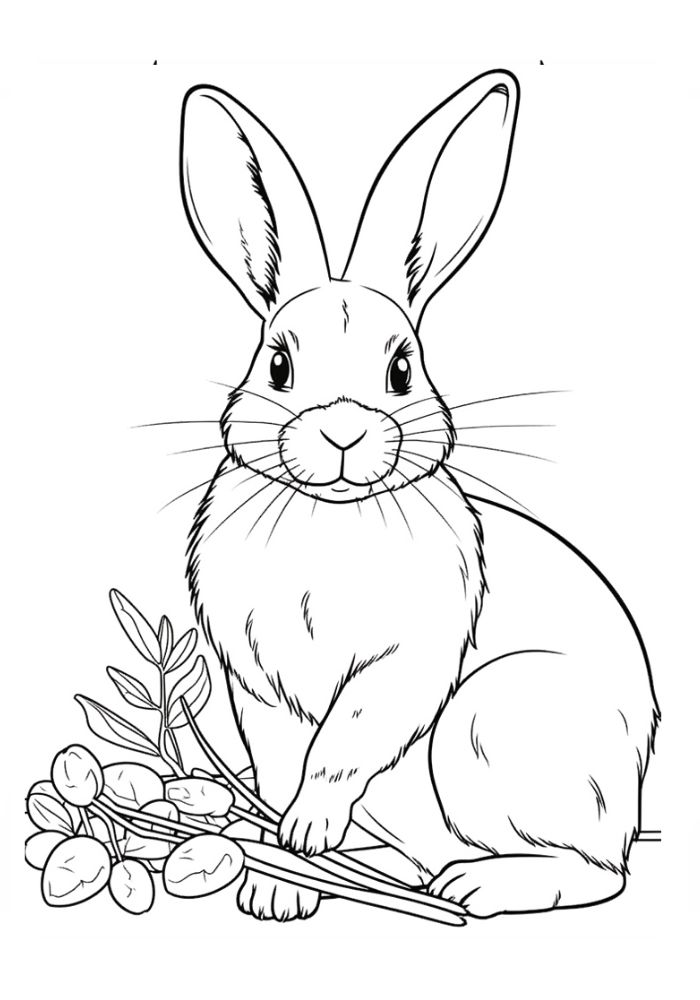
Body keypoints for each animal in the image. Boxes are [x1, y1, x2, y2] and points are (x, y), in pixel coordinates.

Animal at [180, 71, 659, 922]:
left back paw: (474, 885)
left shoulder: (404, 663)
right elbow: (279, 766)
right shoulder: (259, 687)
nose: (342, 431)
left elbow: (345, 742)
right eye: (278, 365)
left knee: (600, 872)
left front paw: (307, 833)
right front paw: (281, 881)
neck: (330, 517)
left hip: (487, 727)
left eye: (402, 369)